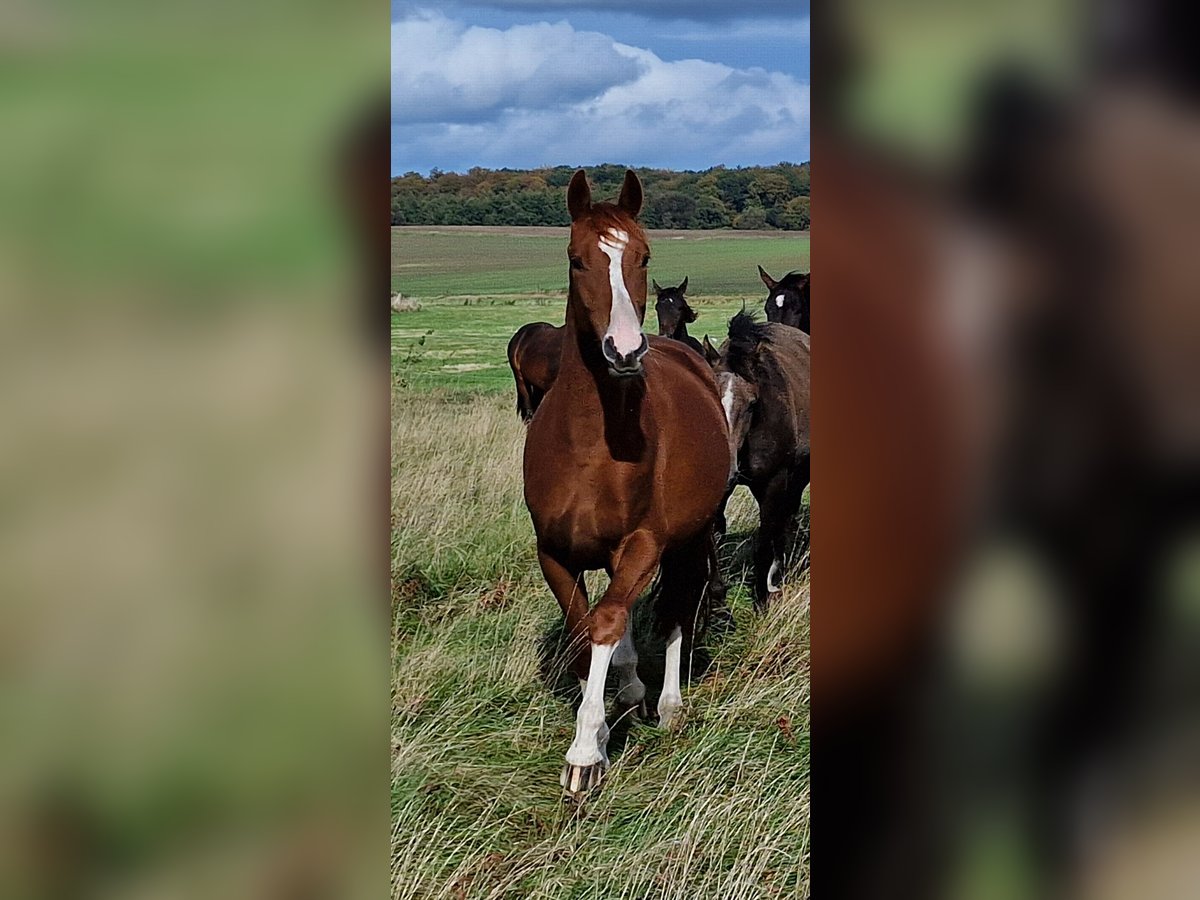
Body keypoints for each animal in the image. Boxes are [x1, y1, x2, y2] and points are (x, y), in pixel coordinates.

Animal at [528, 169, 729, 796]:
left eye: (644, 256)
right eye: (576, 259)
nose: (624, 350)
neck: (591, 445)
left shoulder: (643, 544)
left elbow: (608, 621)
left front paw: (585, 752)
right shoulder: (554, 553)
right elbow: (584, 628)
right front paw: (612, 706)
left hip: (691, 537)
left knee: (679, 603)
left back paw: (668, 704)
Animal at [700, 314, 806, 609]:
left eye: (751, 404)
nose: (726, 469)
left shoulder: (775, 481)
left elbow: (764, 540)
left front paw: (762, 595)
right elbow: (713, 539)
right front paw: (716, 597)